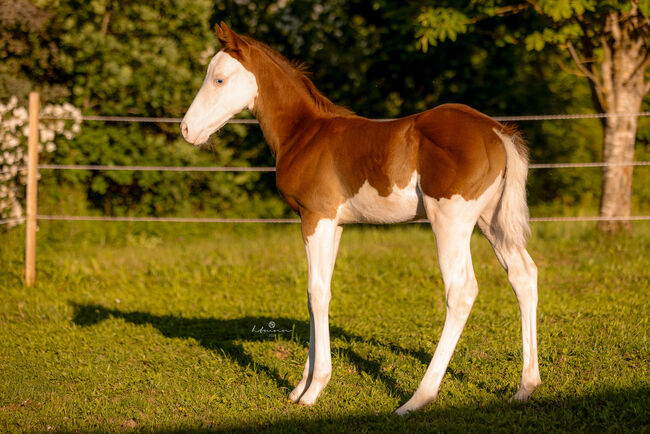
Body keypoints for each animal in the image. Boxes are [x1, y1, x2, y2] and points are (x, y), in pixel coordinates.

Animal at [181, 22, 541, 415]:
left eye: (218, 79)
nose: (187, 129)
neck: (303, 133)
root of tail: (497, 132)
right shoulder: (332, 225)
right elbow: (317, 291)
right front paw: (300, 385)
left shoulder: (316, 219)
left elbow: (317, 292)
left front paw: (314, 389)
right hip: (491, 221)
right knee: (523, 275)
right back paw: (526, 387)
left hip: (450, 220)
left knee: (461, 291)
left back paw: (418, 398)